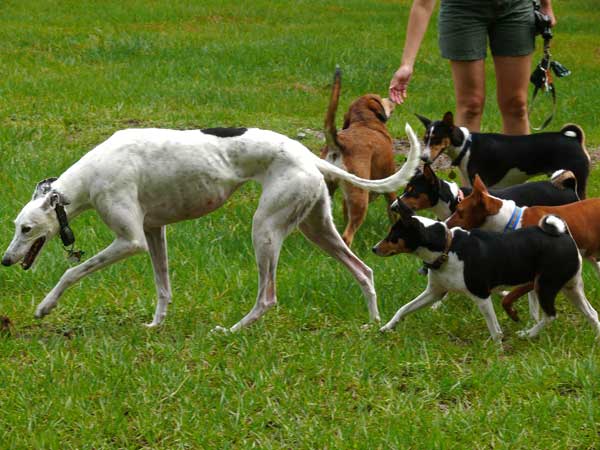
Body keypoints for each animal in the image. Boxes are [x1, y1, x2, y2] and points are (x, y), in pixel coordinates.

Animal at [1, 124, 421, 332]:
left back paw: (234, 330)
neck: (90, 175)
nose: (5, 260)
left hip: (265, 229)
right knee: (364, 270)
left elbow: (72, 271)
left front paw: (45, 306)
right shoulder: (154, 231)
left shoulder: (131, 240)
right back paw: (373, 322)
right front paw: (156, 324)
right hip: (317, 228)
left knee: (267, 297)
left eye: (26, 229)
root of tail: (309, 156)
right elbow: (163, 286)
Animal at [320, 67, 398, 246]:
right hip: (360, 198)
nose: (391, 98)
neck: (365, 122)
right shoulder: (390, 186)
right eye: (379, 98)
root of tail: (338, 145)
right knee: (347, 236)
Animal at [373, 203, 600, 341]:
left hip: (545, 287)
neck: (447, 248)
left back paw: (528, 334)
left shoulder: (481, 295)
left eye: (392, 236)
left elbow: (495, 330)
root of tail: (564, 235)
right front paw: (386, 328)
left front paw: (497, 351)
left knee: (551, 315)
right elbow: (403, 309)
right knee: (592, 314)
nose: (374, 249)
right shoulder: (434, 293)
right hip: (571, 288)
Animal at [416, 112, 590, 199]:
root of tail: (573, 139)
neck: (466, 146)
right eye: (425, 139)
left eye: (436, 140)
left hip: (578, 183)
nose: (423, 158)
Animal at [446, 175, 600, 321]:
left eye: (459, 211)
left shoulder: (535, 279)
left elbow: (509, 298)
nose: (444, 223)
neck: (511, 221)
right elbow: (533, 310)